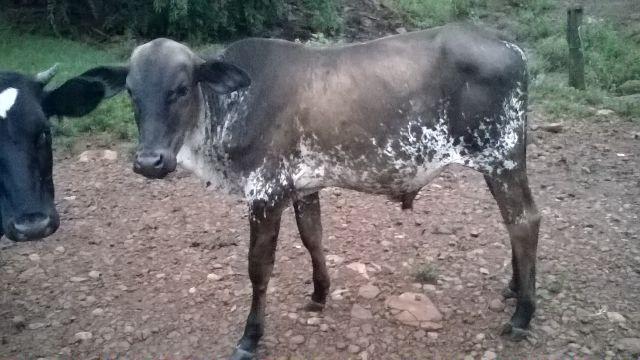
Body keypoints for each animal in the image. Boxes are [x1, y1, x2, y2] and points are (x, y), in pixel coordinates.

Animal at [111, 23, 540, 358]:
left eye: (182, 88)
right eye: (131, 91)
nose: (150, 161)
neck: (230, 107)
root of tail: (510, 46)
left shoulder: (265, 193)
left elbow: (258, 267)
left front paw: (251, 337)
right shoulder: (303, 187)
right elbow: (312, 238)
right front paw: (320, 293)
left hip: (502, 159)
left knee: (525, 221)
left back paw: (523, 314)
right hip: (497, 166)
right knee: (512, 223)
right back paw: (514, 288)